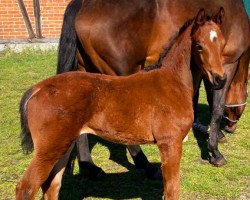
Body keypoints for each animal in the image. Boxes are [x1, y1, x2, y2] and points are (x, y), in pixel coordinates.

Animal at [16, 10, 226, 200]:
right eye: (199, 46)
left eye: (223, 44)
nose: (220, 79)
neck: (173, 82)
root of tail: (38, 88)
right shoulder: (170, 143)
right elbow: (172, 191)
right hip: (48, 150)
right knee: (25, 188)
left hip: (63, 146)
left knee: (52, 187)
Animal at [57, 0, 250, 170]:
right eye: (199, 46)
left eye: (222, 43)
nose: (231, 127)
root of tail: (83, 4)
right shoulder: (228, 64)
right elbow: (216, 107)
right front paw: (215, 151)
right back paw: (145, 165)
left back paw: (90, 167)